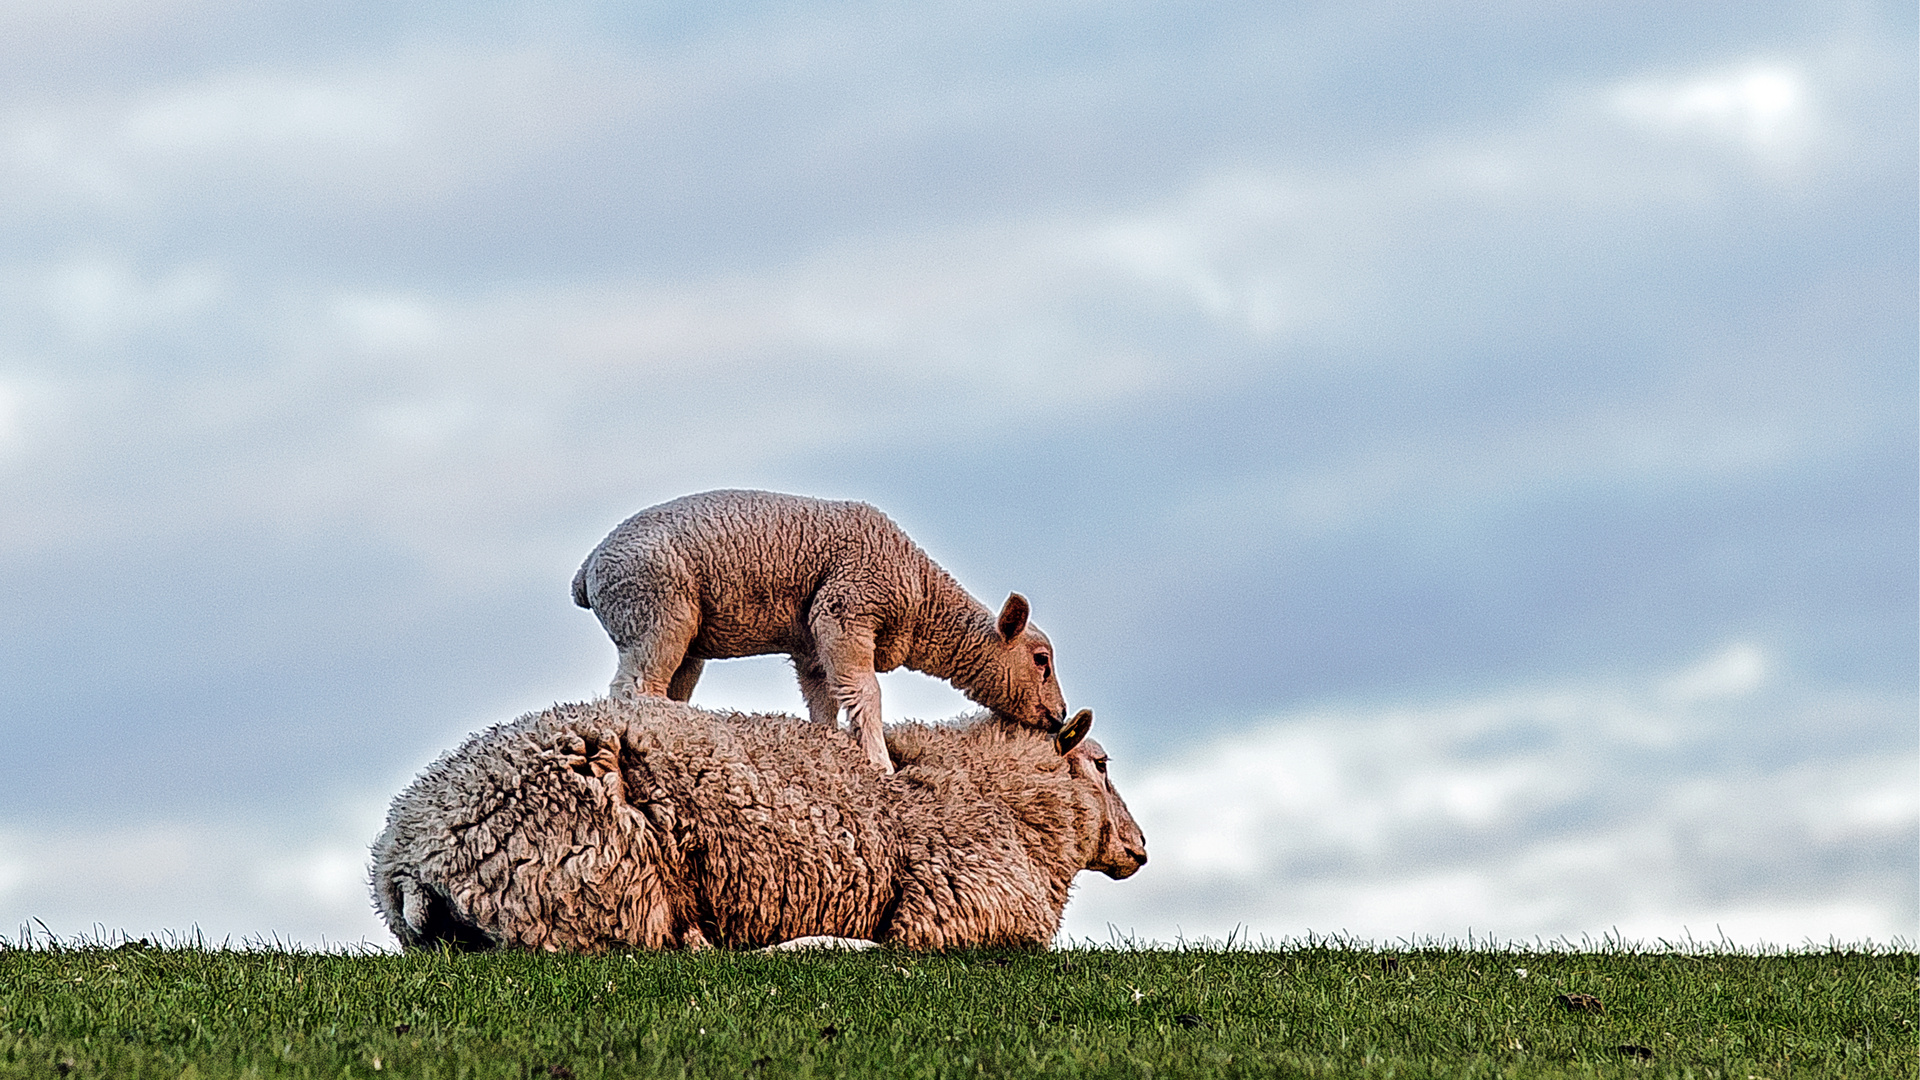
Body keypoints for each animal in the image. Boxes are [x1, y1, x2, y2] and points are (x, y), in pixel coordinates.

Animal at [568, 488, 1082, 764]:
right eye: (1041, 660)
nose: (1059, 716)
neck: (921, 595)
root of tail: (588, 567)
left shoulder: (812, 642)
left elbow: (825, 699)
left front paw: (830, 743)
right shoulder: (845, 611)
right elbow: (867, 692)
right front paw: (880, 762)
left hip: (682, 636)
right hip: (655, 612)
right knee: (634, 689)